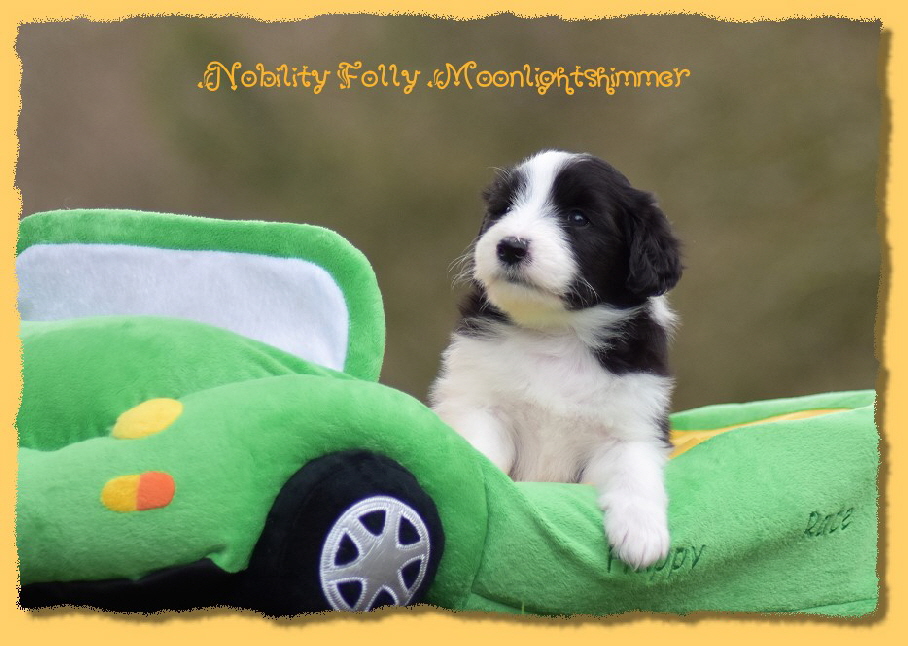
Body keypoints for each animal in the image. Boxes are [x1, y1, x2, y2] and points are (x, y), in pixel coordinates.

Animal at [430, 149, 682, 569]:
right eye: (504, 209)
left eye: (578, 218)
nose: (510, 245)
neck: (556, 333)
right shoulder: (479, 403)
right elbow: (479, 450)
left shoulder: (632, 423)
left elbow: (635, 471)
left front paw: (642, 535)